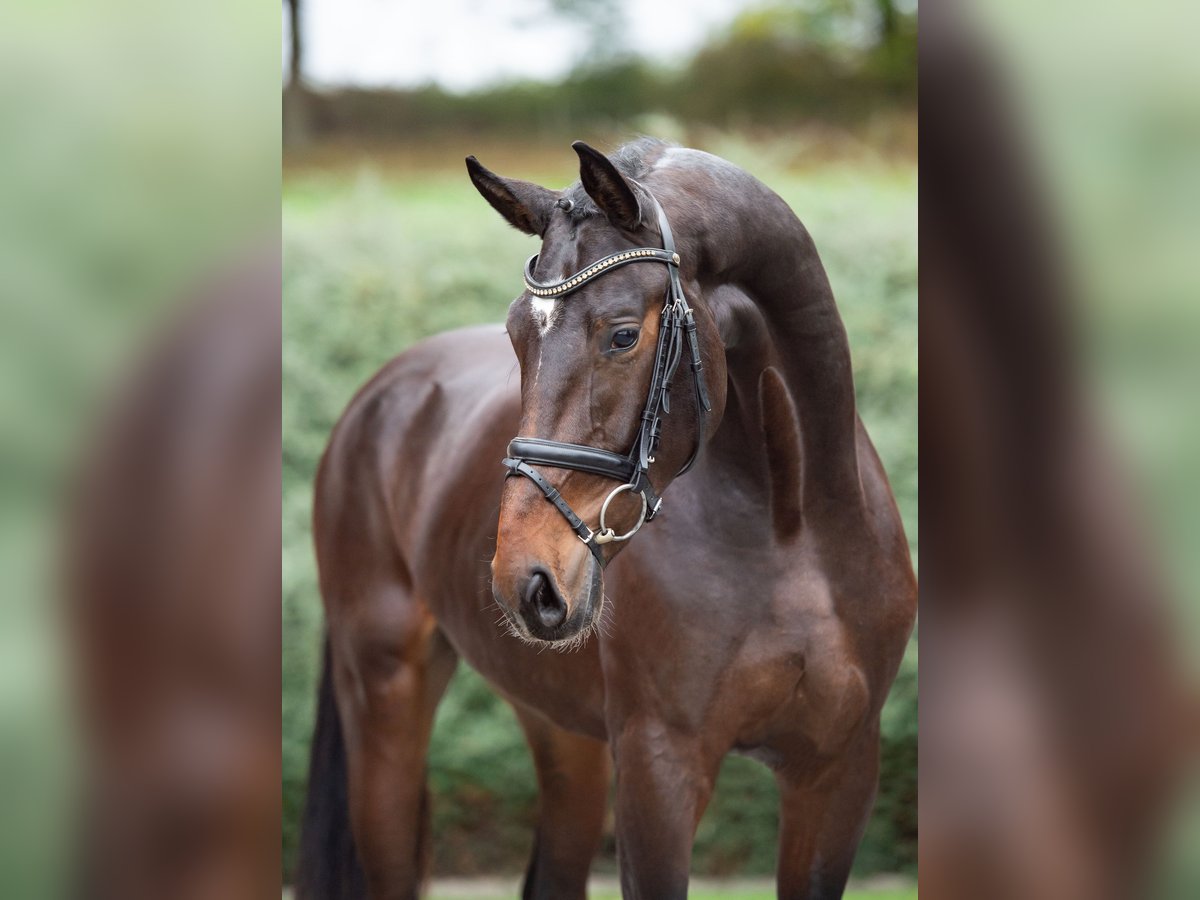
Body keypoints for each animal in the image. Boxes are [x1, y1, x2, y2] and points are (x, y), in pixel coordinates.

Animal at [295, 139, 912, 900]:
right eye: (515, 335)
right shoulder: (659, 766)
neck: (790, 528)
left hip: (562, 730)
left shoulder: (838, 774)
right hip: (385, 702)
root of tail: (380, 395)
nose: (526, 580)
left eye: (621, 336)